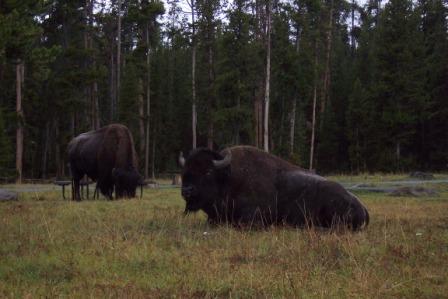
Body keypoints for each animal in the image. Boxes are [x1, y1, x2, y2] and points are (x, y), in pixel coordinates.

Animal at [178, 146, 368, 231]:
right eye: (184, 170)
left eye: (208, 171)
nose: (187, 190)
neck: (229, 178)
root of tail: (363, 209)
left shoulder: (253, 219)